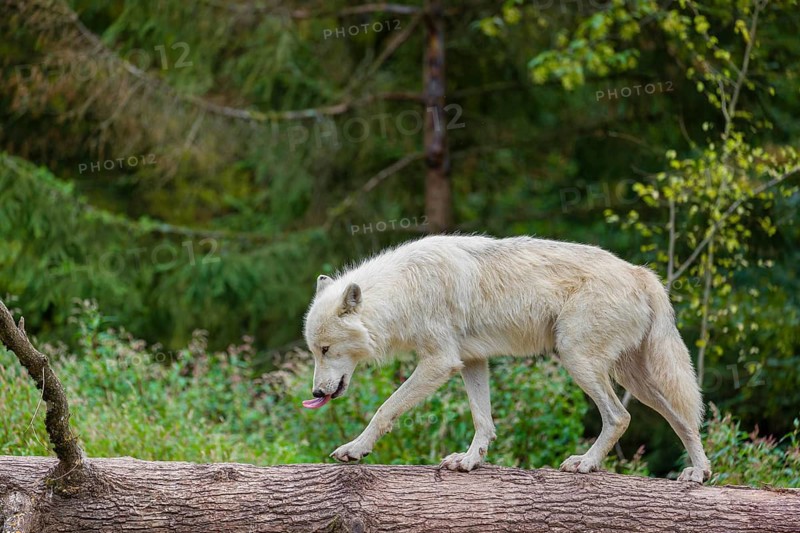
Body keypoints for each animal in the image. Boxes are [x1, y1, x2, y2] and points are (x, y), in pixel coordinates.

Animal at [302, 234, 711, 482]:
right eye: (314, 350)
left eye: (325, 349)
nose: (317, 393)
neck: (404, 290)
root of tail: (642, 274)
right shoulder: (471, 361)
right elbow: (483, 421)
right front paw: (470, 461)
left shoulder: (439, 363)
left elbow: (385, 409)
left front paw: (355, 449)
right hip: (635, 380)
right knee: (685, 419)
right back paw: (700, 473)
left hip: (577, 359)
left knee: (620, 416)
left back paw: (586, 463)